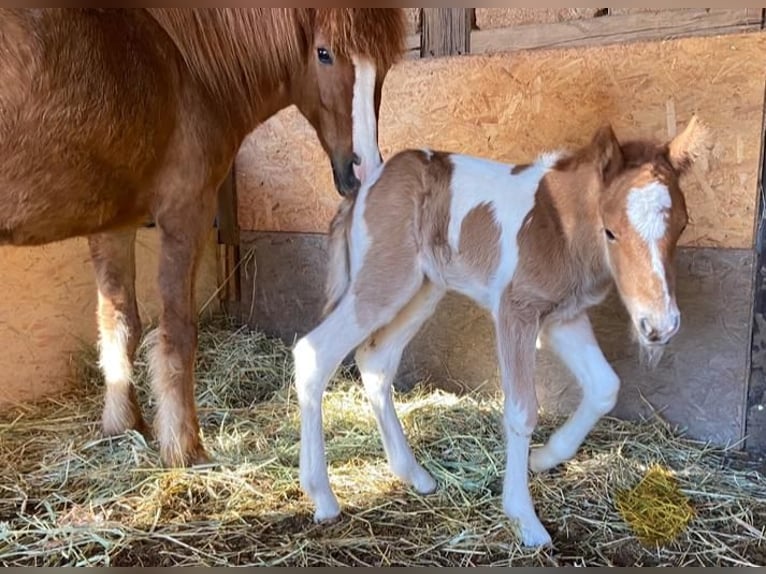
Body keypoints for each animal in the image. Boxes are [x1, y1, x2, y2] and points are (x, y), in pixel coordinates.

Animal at [0, 7, 408, 468]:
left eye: (386, 64)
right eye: (324, 53)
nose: (364, 170)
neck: (179, 58)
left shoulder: (114, 224)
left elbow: (120, 324)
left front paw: (123, 425)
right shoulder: (186, 214)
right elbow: (178, 335)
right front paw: (184, 447)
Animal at [294, 117, 708, 548]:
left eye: (682, 225)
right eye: (610, 231)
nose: (660, 326)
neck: (558, 227)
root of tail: (369, 184)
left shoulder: (563, 317)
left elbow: (604, 386)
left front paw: (545, 457)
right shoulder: (517, 312)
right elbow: (522, 410)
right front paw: (525, 518)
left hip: (423, 290)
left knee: (375, 360)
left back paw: (415, 475)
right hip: (382, 284)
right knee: (314, 353)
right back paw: (323, 497)